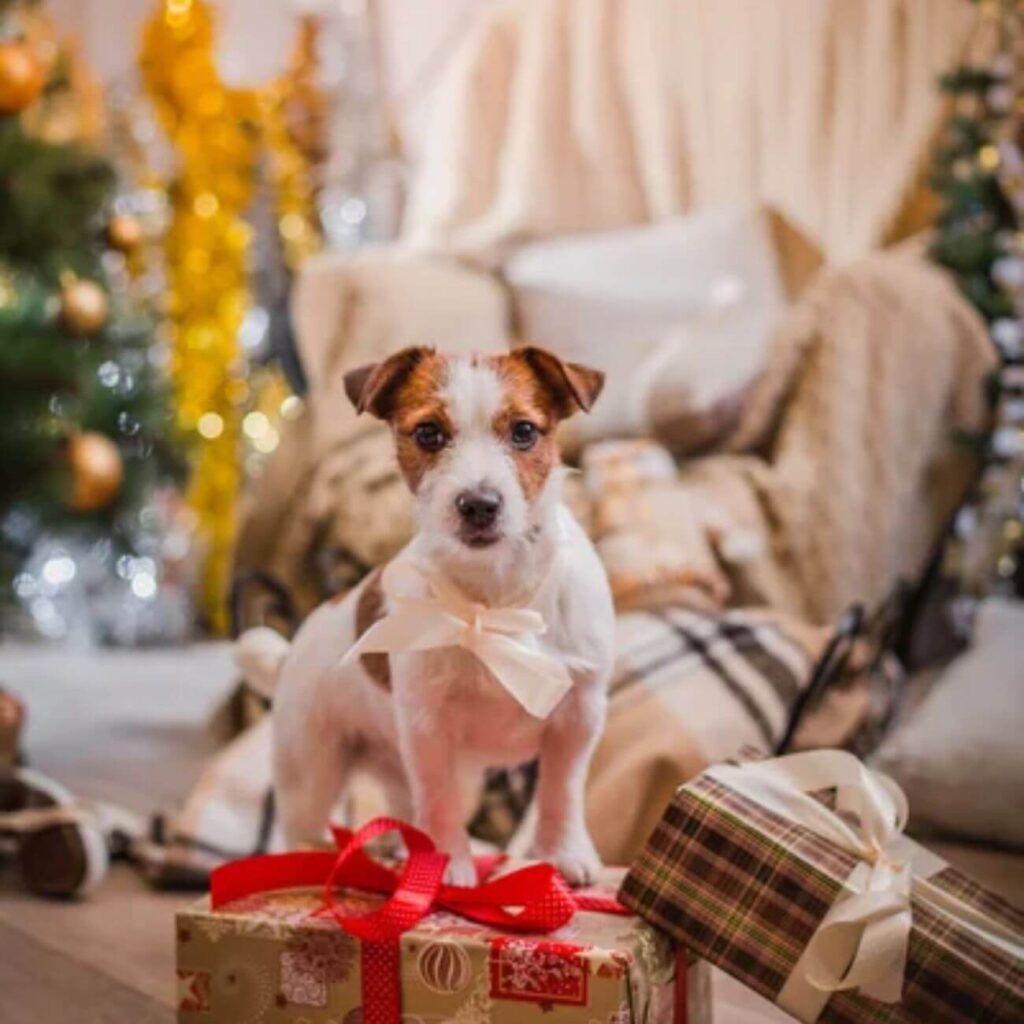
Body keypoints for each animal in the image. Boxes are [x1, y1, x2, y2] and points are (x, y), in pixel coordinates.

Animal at [235, 346, 610, 888]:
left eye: (523, 431)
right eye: (429, 433)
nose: (479, 505)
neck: (494, 603)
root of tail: (289, 653)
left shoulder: (578, 717)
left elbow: (561, 790)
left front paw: (563, 852)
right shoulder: (429, 729)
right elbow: (440, 803)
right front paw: (447, 862)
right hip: (310, 765)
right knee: (313, 820)